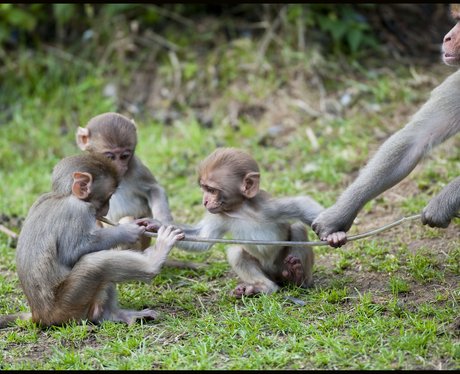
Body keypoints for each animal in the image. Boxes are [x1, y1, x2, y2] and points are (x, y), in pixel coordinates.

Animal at [1, 152, 185, 328]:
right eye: (108, 196)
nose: (107, 209)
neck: (61, 195)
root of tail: (39, 315)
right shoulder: (77, 211)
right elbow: (72, 252)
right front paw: (127, 230)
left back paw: (112, 314)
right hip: (67, 305)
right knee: (95, 263)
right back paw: (154, 261)